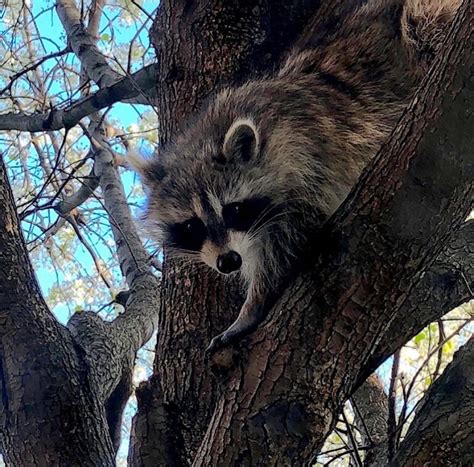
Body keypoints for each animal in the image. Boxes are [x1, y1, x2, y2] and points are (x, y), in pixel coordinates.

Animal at [133, 0, 460, 356]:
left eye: (234, 210)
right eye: (193, 225)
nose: (228, 262)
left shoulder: (312, 159)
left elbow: (287, 242)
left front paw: (254, 304)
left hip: (423, 20)